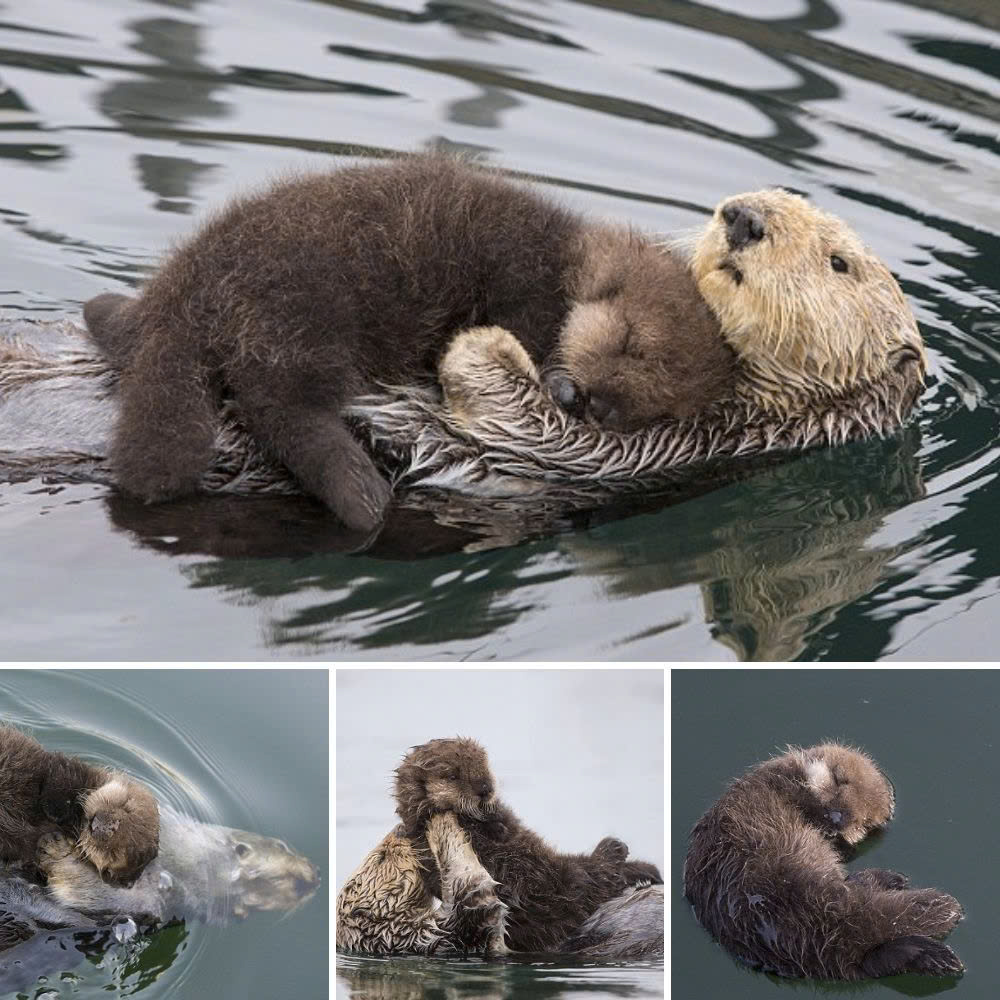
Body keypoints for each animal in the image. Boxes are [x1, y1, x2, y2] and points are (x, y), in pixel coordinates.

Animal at [0, 728, 158, 892]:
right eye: (126, 807)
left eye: (112, 853)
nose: (98, 825)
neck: (76, 819)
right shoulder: (68, 771)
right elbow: (57, 779)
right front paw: (55, 810)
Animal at [80, 152, 736, 536]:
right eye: (629, 342)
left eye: (649, 407)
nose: (595, 403)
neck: (567, 259)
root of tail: (187, 294)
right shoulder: (526, 282)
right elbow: (530, 325)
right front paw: (558, 380)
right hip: (303, 313)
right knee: (282, 406)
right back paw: (361, 494)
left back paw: (103, 311)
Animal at [392, 736, 664, 952]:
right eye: (452, 775)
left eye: (484, 765)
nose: (485, 788)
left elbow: (504, 826)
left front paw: (495, 819)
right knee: (597, 875)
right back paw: (618, 851)